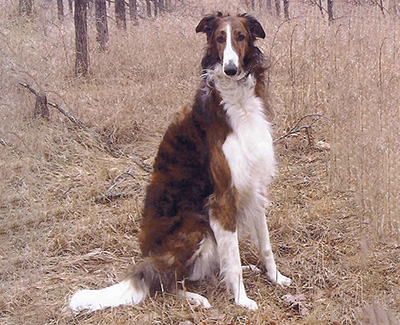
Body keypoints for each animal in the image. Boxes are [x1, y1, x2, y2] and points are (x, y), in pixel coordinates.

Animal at [69, 12, 290, 312]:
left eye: (241, 36)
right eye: (220, 38)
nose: (231, 69)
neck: (238, 103)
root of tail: (147, 260)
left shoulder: (254, 186)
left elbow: (265, 245)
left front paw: (276, 277)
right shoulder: (223, 197)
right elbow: (232, 260)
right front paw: (242, 300)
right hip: (195, 228)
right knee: (164, 282)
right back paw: (195, 297)